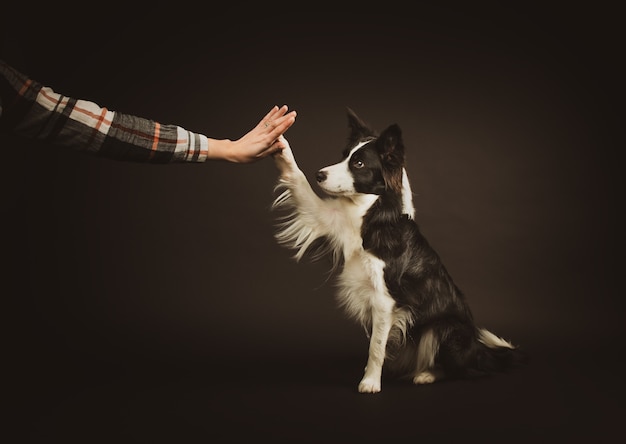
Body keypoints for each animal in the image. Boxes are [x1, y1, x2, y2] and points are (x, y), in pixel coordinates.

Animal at [270, 109, 524, 394]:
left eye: (359, 164)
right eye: (344, 155)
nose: (319, 174)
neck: (373, 212)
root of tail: (479, 352)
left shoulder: (385, 300)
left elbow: (376, 347)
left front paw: (370, 382)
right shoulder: (329, 217)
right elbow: (299, 183)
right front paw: (280, 145)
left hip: (445, 328)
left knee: (462, 370)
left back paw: (427, 374)